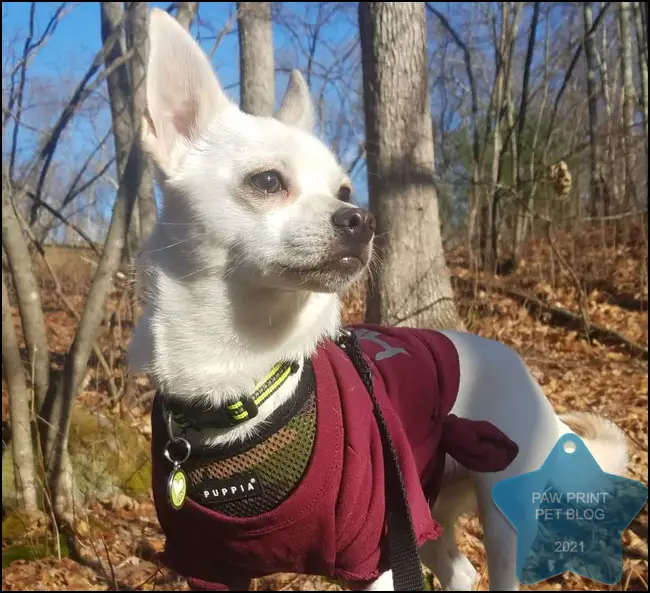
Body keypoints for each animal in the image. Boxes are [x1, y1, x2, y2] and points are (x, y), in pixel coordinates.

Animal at [128, 10, 628, 592]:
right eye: (268, 181)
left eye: (344, 190)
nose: (362, 219)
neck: (241, 376)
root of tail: (518, 366)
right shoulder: (211, 569)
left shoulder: (375, 552)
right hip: (423, 507)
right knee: (461, 571)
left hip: (494, 511)